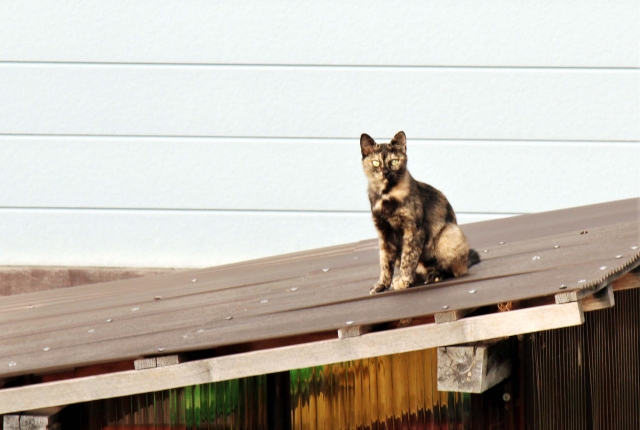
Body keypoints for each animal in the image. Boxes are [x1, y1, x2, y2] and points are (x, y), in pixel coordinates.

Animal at [362, 130, 478, 296]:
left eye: (394, 162)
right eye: (376, 163)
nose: (385, 172)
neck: (386, 195)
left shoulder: (414, 230)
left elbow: (408, 258)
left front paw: (404, 280)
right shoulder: (384, 234)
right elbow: (385, 263)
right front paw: (382, 285)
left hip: (449, 232)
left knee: (454, 270)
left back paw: (434, 275)